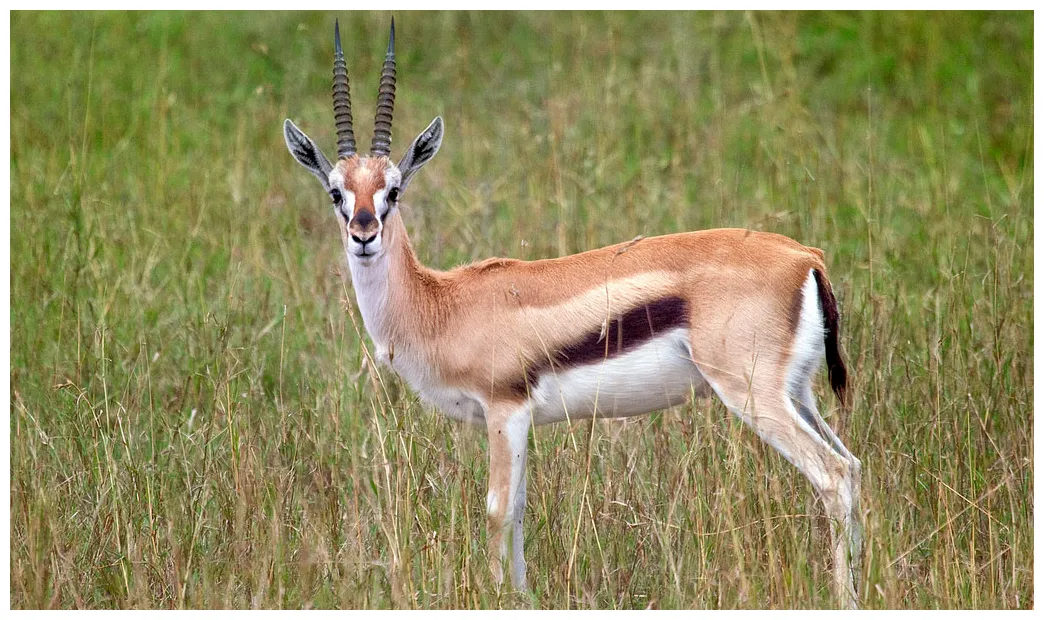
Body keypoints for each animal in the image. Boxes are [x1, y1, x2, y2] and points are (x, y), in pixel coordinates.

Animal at [283, 19, 864, 608]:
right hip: (798, 393)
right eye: (336, 192)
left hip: (751, 393)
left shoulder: (505, 409)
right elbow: (518, 512)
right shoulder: (518, 423)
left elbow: (497, 512)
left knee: (834, 473)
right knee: (854, 466)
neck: (441, 304)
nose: (364, 235)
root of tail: (805, 257)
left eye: (394, 191)